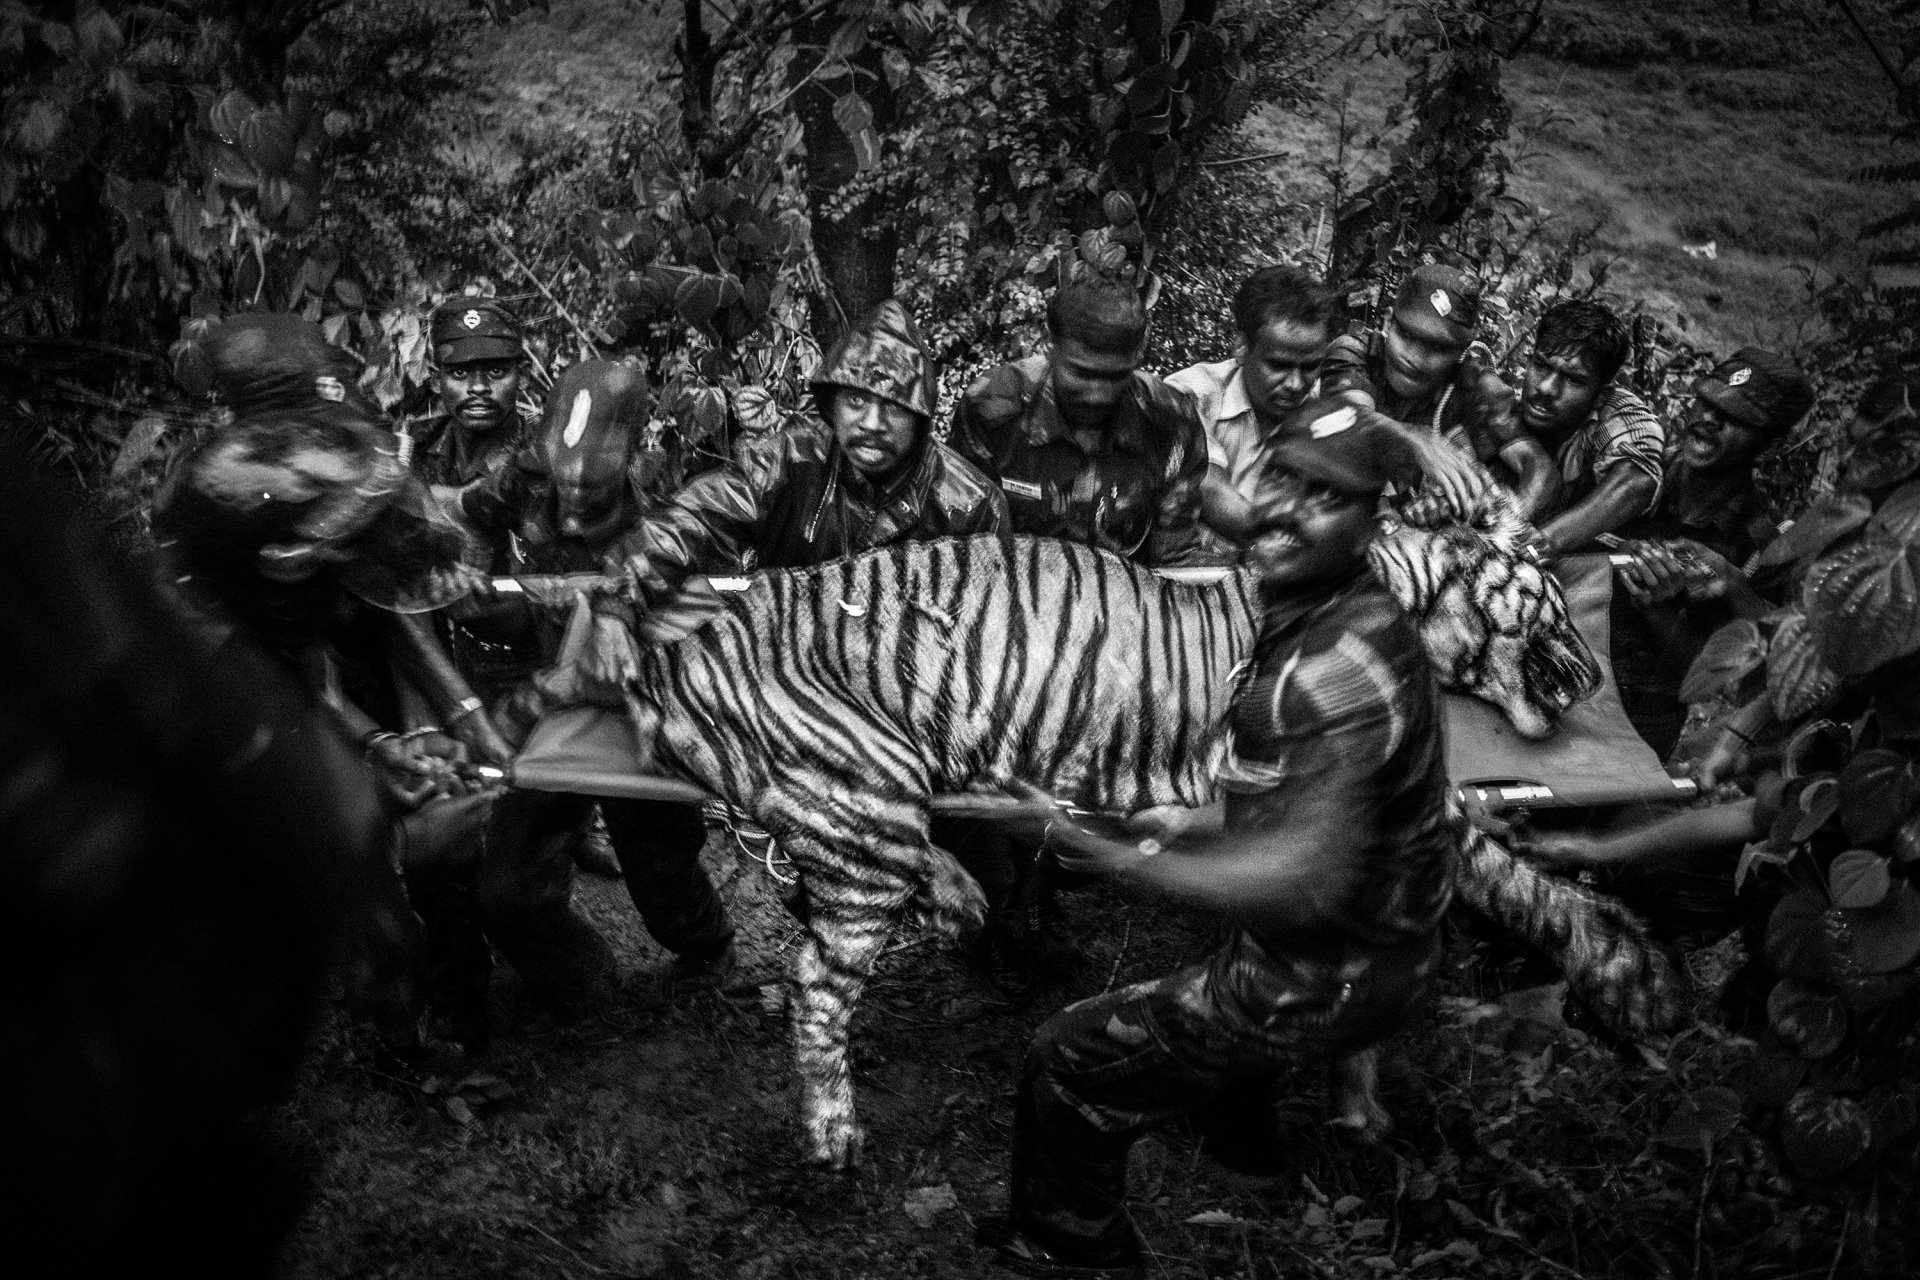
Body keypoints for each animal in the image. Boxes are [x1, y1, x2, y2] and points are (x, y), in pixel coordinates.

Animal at [560, 537, 1681, 1166]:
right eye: (1547, 594)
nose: (1595, 676)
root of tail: (674, 658)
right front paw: (1619, 969)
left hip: (865, 810)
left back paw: (959, 891)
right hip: (865, 794)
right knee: (817, 980)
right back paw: (834, 1131)